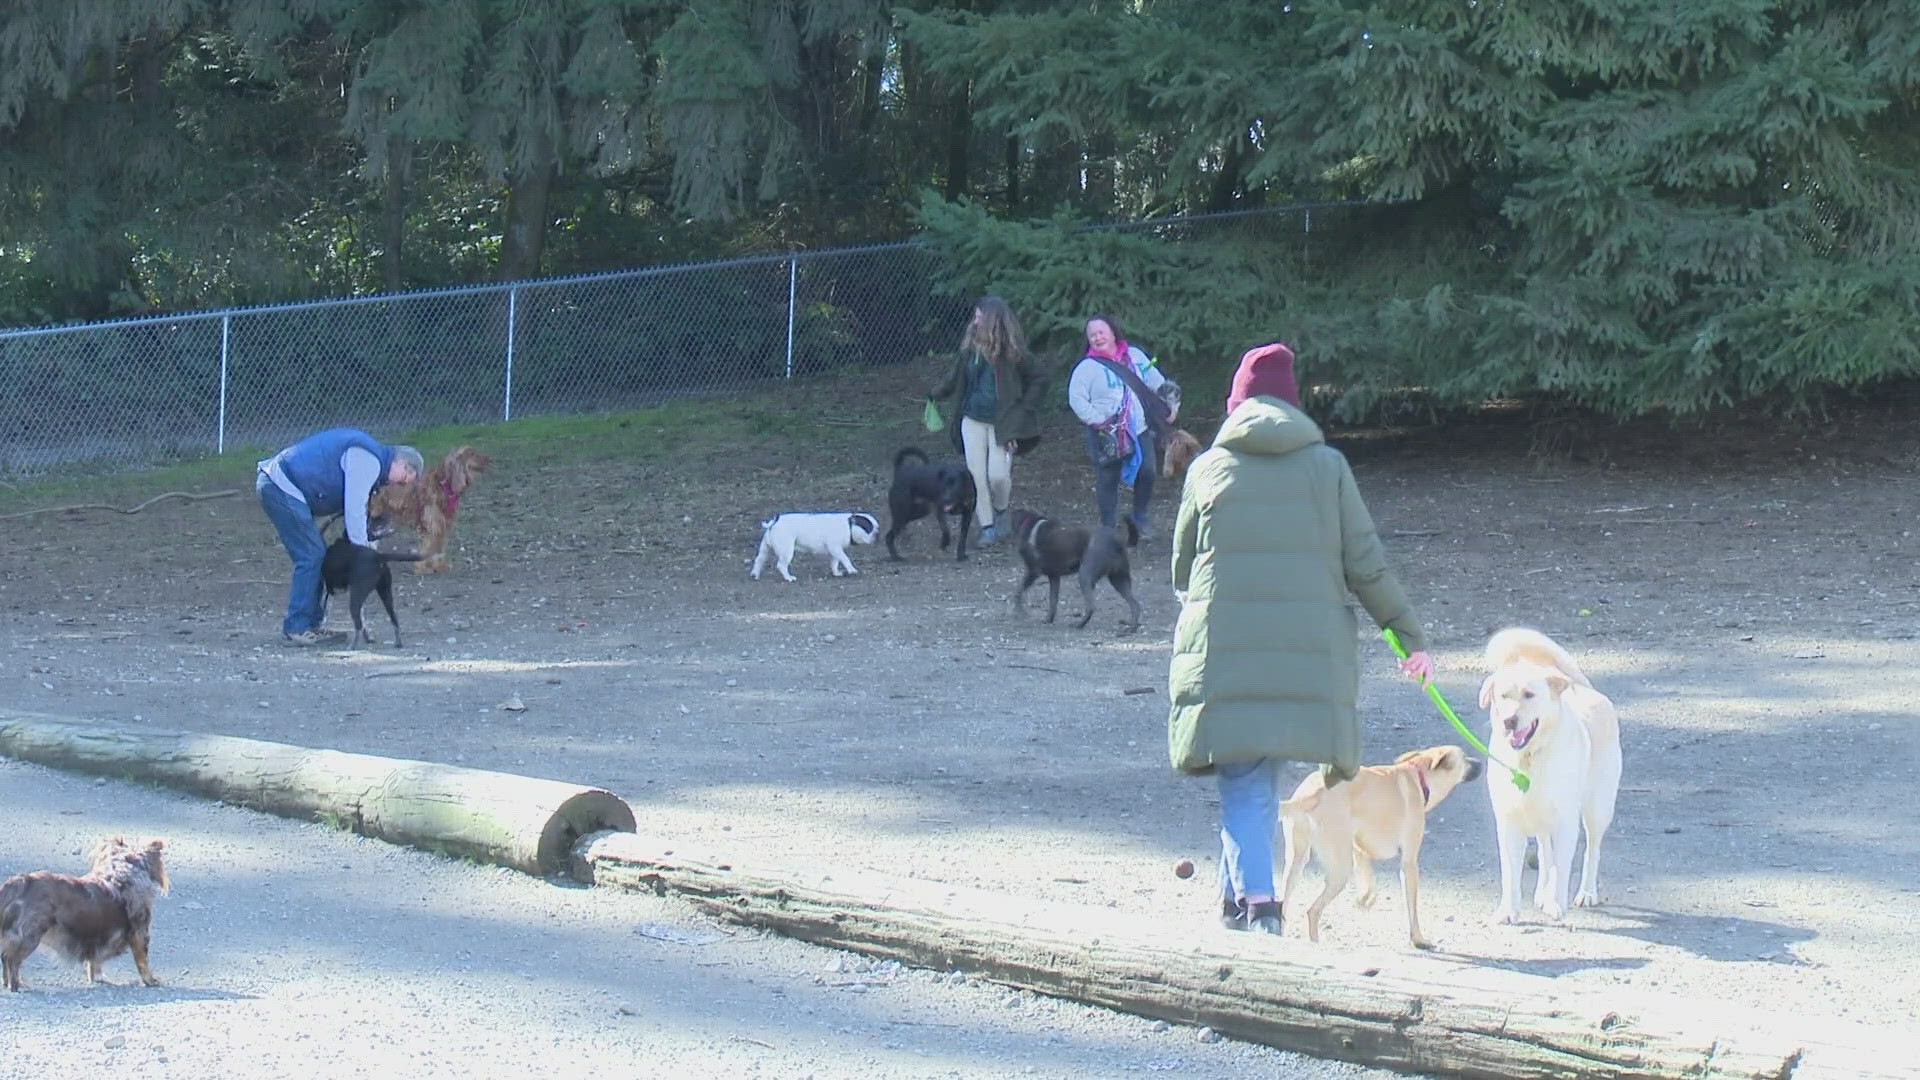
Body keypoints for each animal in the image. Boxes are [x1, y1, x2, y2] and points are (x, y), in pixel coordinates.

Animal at [1, 837, 169, 991]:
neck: (120, 872)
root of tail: (21, 882)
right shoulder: (139, 932)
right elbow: (142, 960)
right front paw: (151, 980)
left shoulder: (96, 941)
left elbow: (93, 962)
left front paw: (96, 978)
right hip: (29, 937)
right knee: (12, 959)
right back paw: (15, 986)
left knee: (5, 958)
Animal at [1006, 507, 1136, 626]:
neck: (1032, 524)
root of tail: (1116, 540)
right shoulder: (1054, 576)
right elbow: (1053, 601)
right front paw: (1048, 619)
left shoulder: (1033, 572)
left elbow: (1018, 591)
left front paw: (1019, 612)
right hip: (1118, 579)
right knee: (1135, 604)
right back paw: (1130, 627)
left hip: (1085, 575)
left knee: (1091, 606)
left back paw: (1079, 624)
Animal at [1290, 745, 1482, 945]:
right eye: (1464, 758)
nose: (1481, 763)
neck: (1420, 777)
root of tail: (1310, 794)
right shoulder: (1409, 863)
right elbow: (1412, 907)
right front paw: (1418, 939)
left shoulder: (1359, 848)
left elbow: (1369, 882)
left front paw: (1364, 900)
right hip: (1339, 870)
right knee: (1313, 910)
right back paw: (1314, 939)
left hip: (1297, 861)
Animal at [1482, 626, 1620, 922]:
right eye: (1503, 696)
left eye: (1529, 695)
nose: (1509, 720)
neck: (1528, 759)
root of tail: (1586, 690)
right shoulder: (1508, 823)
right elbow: (1510, 874)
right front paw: (1508, 910)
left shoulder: (1566, 822)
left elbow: (1563, 866)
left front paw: (1556, 904)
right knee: (1546, 852)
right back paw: (1541, 893)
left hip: (1597, 810)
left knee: (1592, 850)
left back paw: (1585, 893)